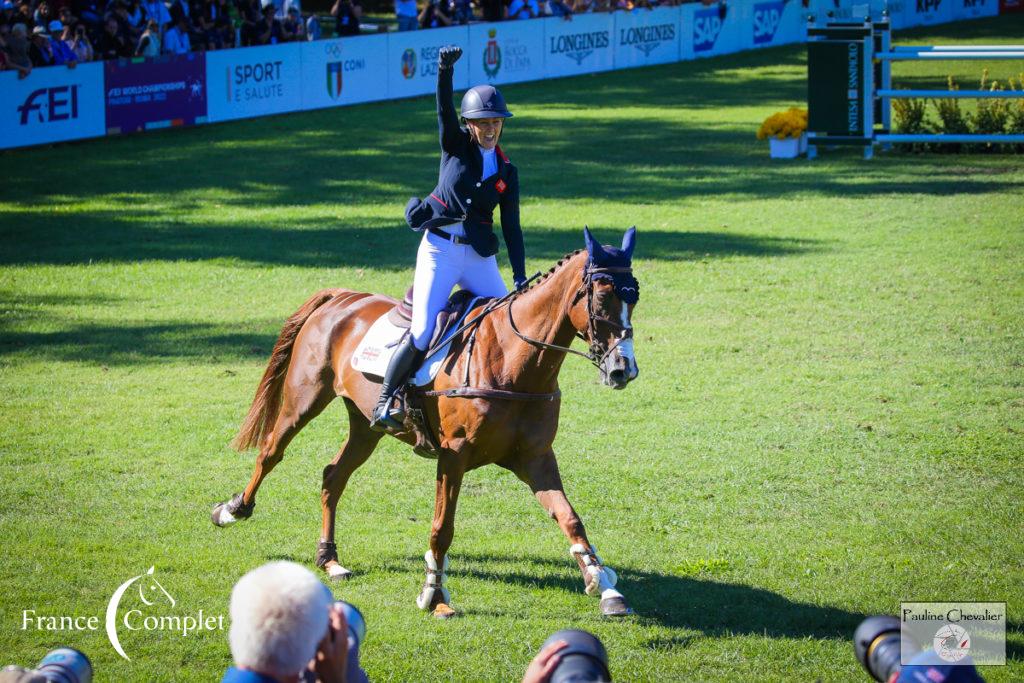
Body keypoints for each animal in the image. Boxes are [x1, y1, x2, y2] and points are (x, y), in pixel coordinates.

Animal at [210, 227, 638, 618]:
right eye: (603, 296)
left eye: (635, 294)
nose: (623, 370)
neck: (516, 364)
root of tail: (345, 297)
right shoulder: (453, 456)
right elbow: (442, 528)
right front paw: (435, 595)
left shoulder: (535, 458)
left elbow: (570, 519)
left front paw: (604, 585)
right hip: (305, 399)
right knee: (271, 451)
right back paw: (232, 510)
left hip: (365, 425)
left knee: (334, 474)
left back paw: (330, 560)